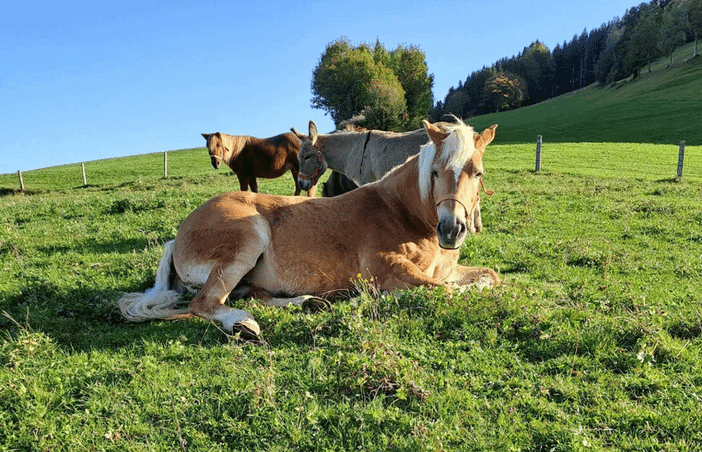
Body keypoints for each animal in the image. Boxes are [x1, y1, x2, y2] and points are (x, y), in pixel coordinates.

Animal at [119, 120, 500, 340]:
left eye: (478, 172)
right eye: (435, 172)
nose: (452, 229)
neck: (403, 214)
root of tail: (179, 235)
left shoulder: (446, 269)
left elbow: (489, 277)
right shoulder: (387, 269)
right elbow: (443, 291)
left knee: (254, 296)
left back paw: (307, 303)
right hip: (247, 240)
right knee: (205, 303)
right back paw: (245, 326)